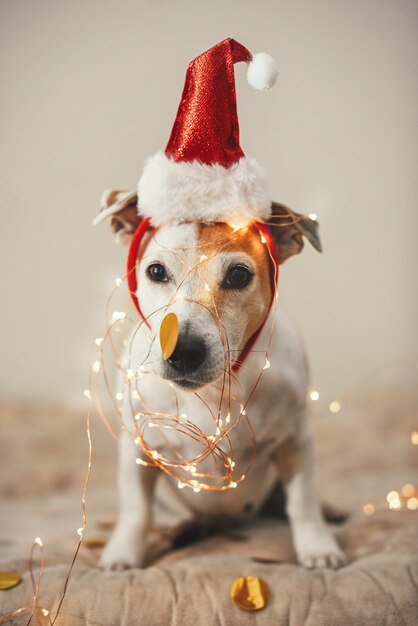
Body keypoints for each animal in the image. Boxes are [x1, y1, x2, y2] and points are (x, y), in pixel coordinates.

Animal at [96, 190, 348, 572]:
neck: (214, 392)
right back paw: (182, 529)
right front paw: (122, 553)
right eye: (156, 271)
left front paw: (317, 547)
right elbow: (136, 510)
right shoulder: (138, 448)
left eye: (238, 275)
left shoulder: (295, 440)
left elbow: (302, 502)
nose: (183, 351)